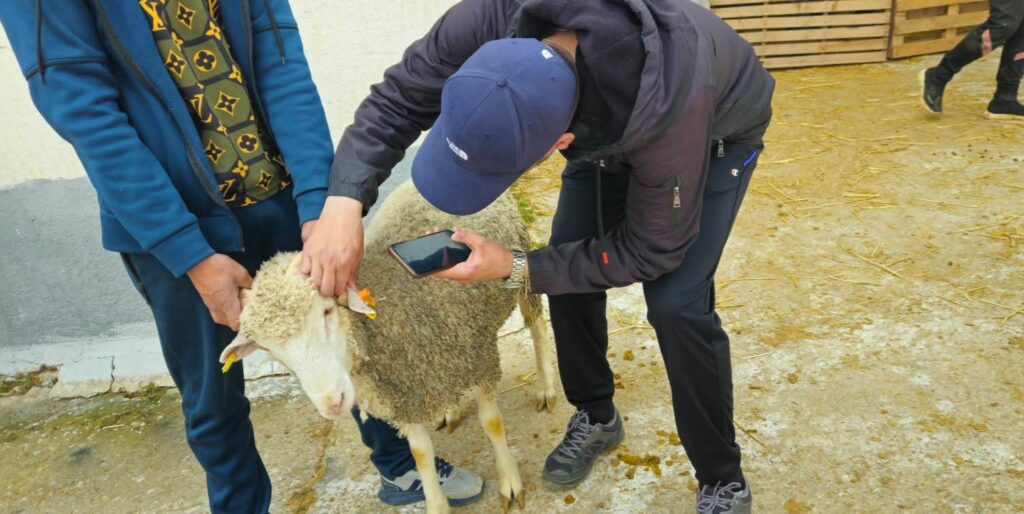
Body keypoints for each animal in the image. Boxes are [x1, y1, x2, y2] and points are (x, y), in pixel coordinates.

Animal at [218, 180, 556, 513]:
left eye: (327, 311)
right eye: (268, 348)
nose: (332, 403)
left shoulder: (480, 358)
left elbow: (492, 424)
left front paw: (510, 481)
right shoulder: (403, 392)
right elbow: (420, 453)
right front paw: (436, 502)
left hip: (519, 265)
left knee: (537, 325)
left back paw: (546, 388)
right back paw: (450, 409)